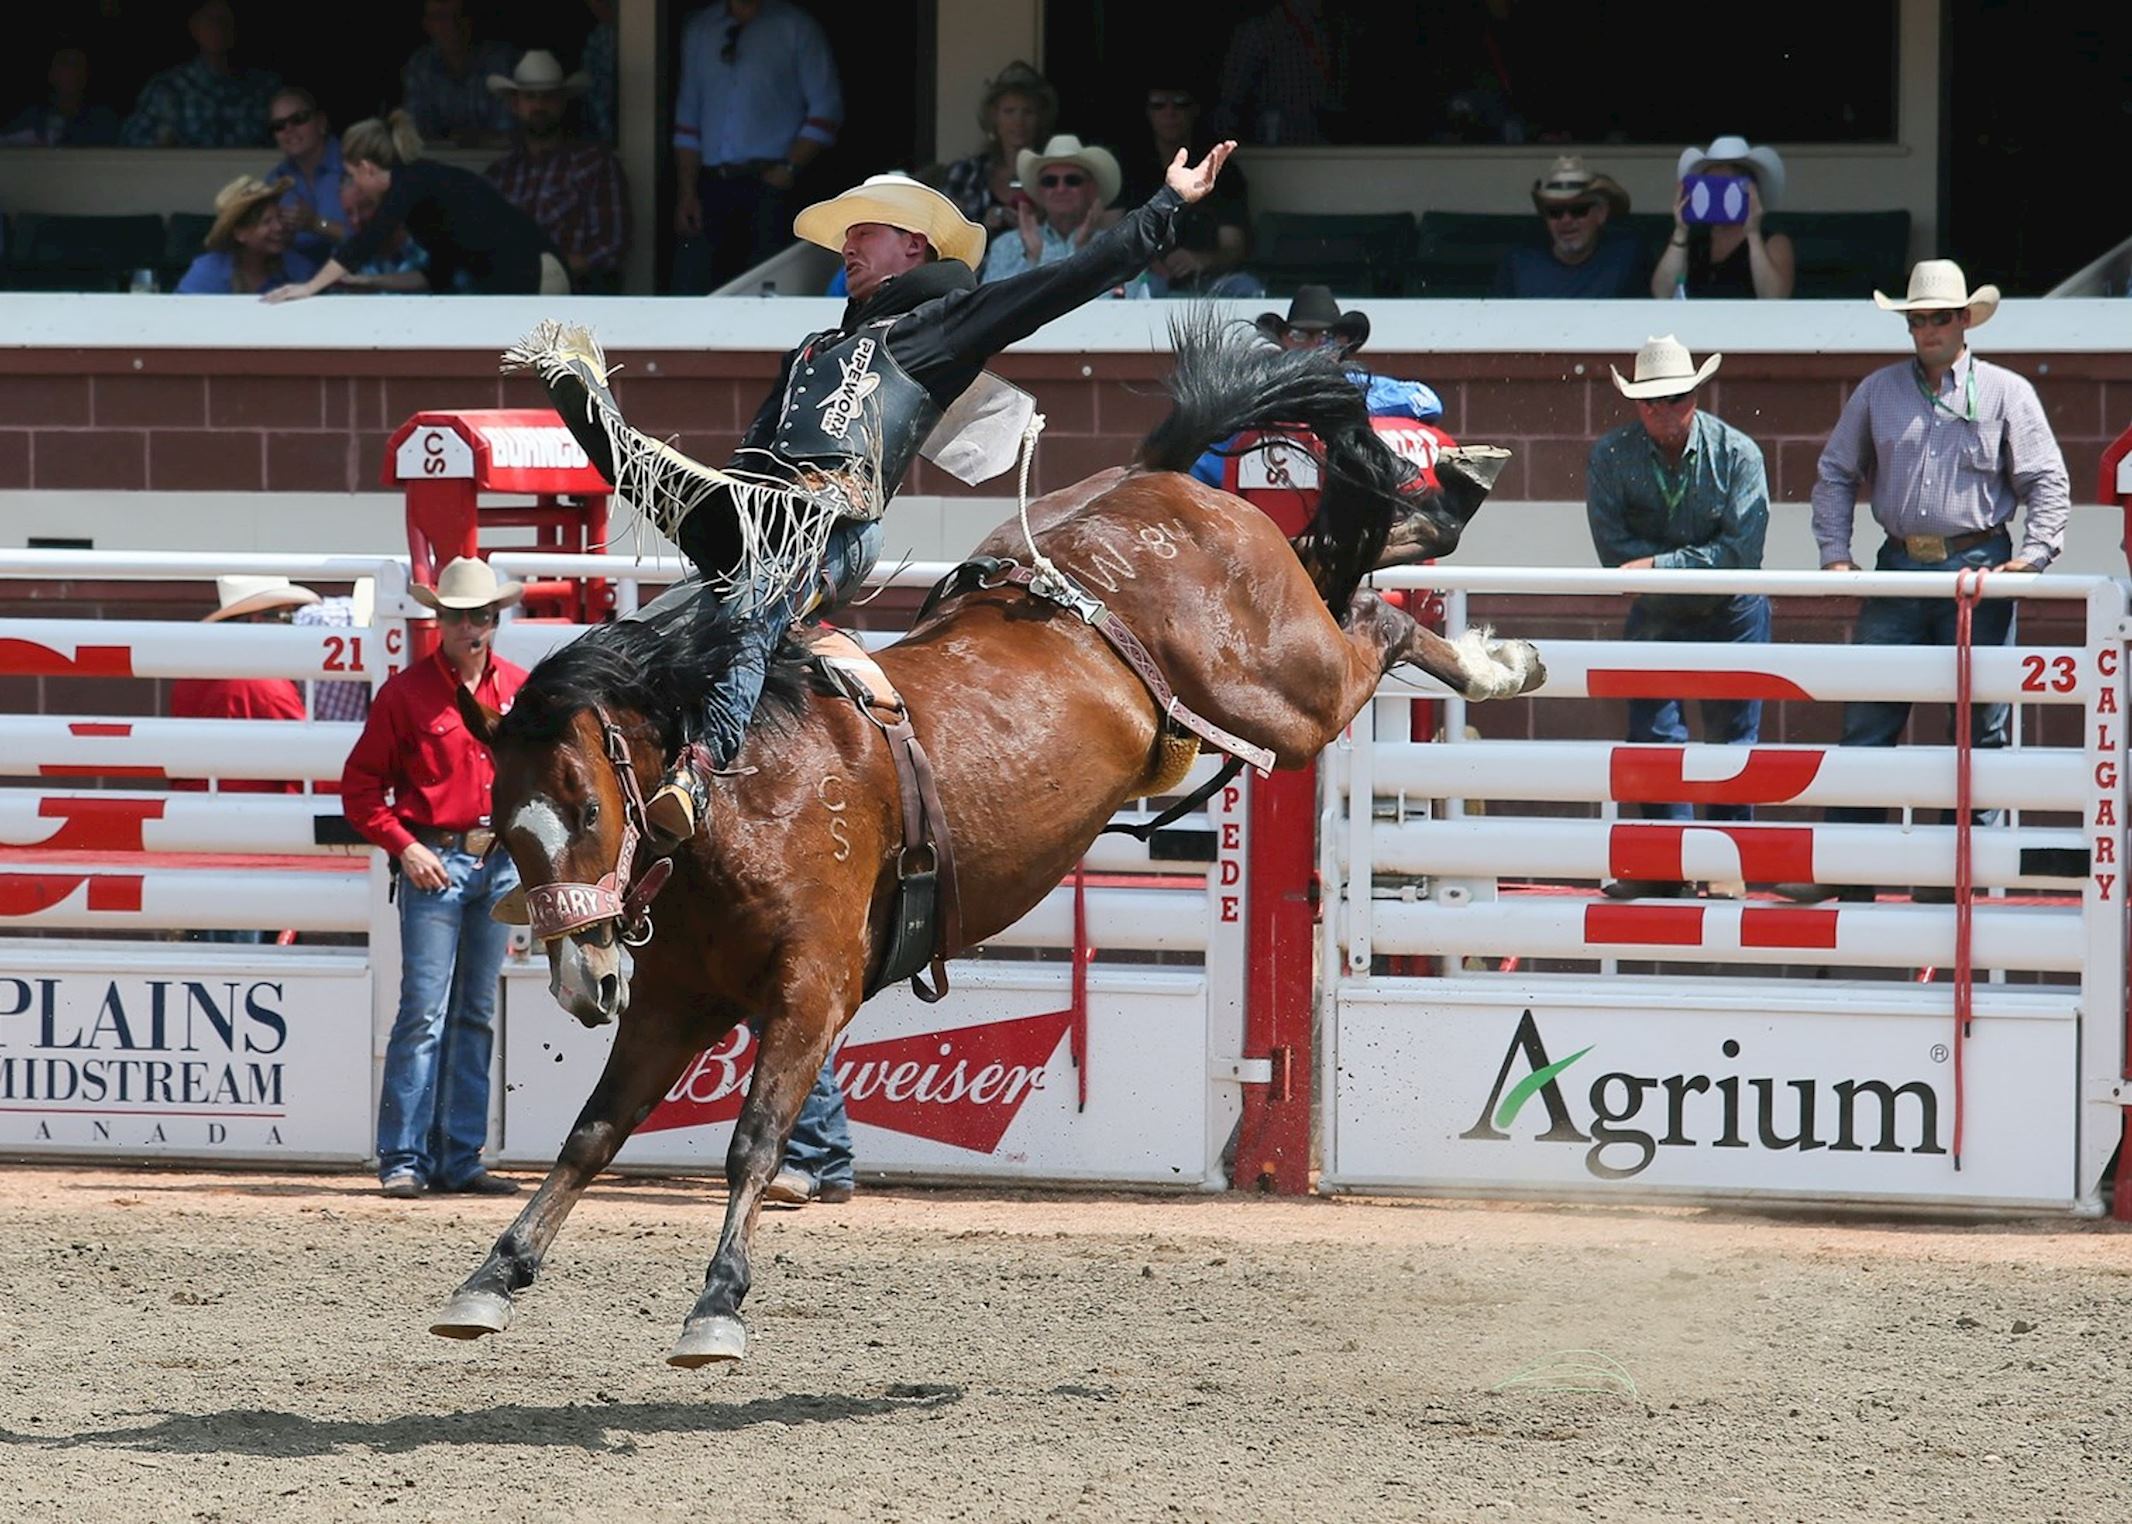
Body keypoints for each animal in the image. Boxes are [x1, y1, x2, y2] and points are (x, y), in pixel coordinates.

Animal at [432, 309, 1543, 1372]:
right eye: (503, 829)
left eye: (585, 811)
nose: (583, 982)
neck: (739, 798)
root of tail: (1168, 487)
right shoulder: (672, 1004)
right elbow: (591, 1134)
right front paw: (489, 1280)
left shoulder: (811, 991)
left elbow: (751, 1142)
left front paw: (716, 1308)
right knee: (1350, 564)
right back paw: (1458, 526)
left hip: (1290, 694)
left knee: (1374, 622)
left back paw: (1495, 640)